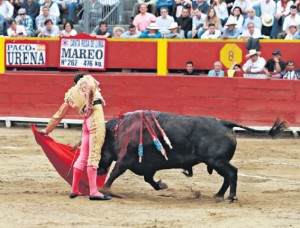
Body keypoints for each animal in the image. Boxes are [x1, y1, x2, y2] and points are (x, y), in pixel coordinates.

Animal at [97, 112, 288, 201]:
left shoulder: (125, 160)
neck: (119, 131)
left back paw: (230, 197)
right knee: (227, 176)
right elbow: (149, 179)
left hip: (217, 161)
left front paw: (104, 189)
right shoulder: (148, 166)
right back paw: (219, 195)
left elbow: (115, 172)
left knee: (232, 173)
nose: (98, 169)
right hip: (218, 163)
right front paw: (162, 185)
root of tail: (224, 123)